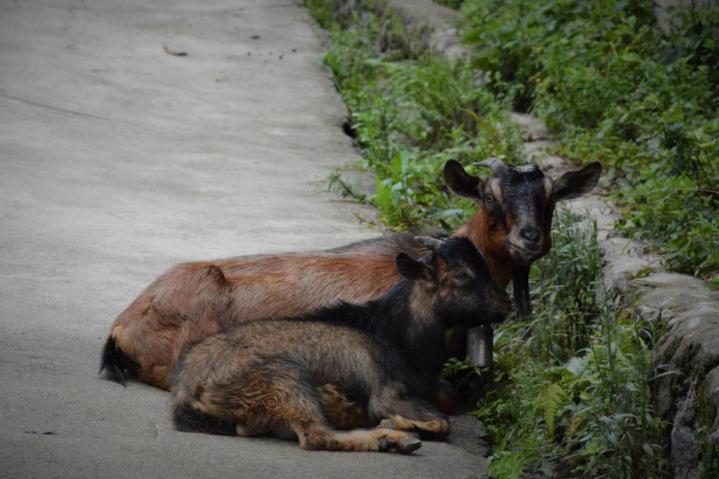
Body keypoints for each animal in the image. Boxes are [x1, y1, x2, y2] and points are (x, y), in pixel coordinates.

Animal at [172, 238, 516, 456]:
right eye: (462, 274)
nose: (506, 303)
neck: (398, 340)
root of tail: (188, 392)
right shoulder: (386, 394)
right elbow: (443, 423)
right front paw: (401, 423)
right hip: (284, 377)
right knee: (317, 436)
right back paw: (393, 438)